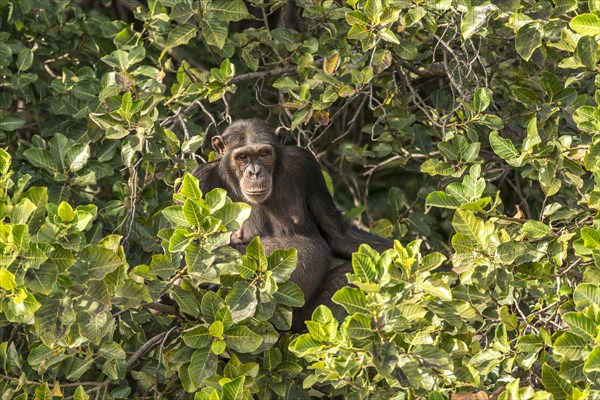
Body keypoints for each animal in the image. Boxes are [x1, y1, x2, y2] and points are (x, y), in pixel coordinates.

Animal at [195, 119, 394, 332]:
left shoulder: (306, 164)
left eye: (264, 154)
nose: (255, 172)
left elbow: (336, 232)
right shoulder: (201, 179)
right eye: (242, 157)